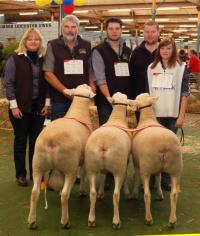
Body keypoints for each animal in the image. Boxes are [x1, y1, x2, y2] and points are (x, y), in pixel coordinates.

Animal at [27, 84, 95, 229]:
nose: (87, 84)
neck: (78, 111)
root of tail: (52, 140)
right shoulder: (84, 160)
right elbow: (83, 174)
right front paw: (82, 191)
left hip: (37, 165)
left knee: (35, 193)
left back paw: (32, 221)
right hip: (70, 167)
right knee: (65, 195)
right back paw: (65, 221)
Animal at [83, 91, 137, 229]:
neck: (116, 118)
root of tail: (104, 142)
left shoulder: (101, 168)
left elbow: (103, 176)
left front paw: (101, 192)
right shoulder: (125, 162)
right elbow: (126, 175)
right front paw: (127, 192)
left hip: (91, 168)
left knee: (92, 194)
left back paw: (91, 219)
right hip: (118, 168)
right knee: (116, 195)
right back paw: (116, 221)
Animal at [131, 93, 183, 228]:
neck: (147, 118)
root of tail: (164, 145)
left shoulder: (136, 162)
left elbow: (136, 176)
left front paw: (134, 193)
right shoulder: (159, 168)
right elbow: (159, 178)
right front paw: (159, 194)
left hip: (146, 167)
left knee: (147, 194)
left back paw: (148, 218)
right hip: (176, 168)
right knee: (174, 194)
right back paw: (172, 220)